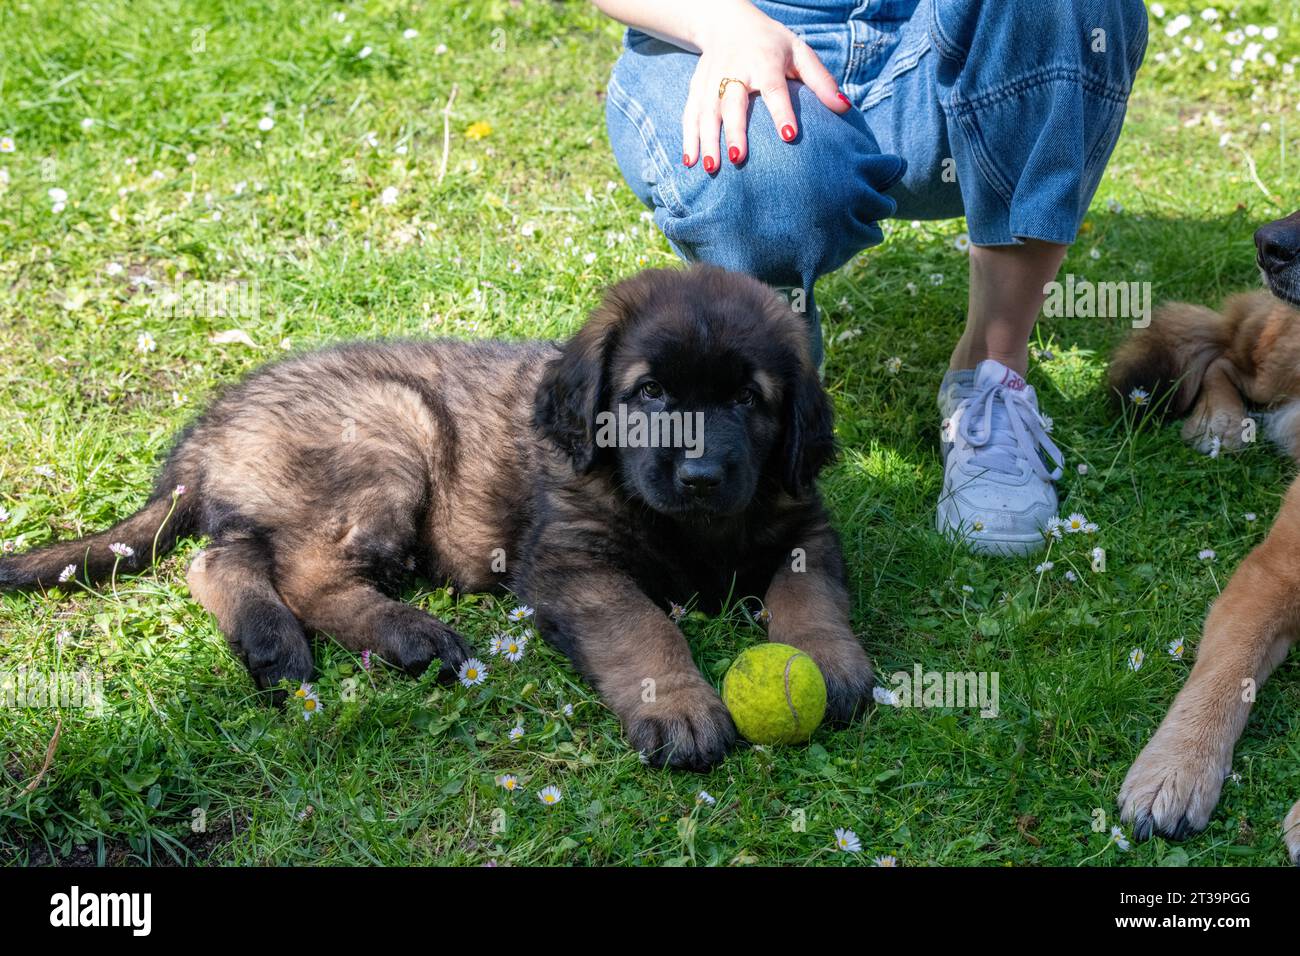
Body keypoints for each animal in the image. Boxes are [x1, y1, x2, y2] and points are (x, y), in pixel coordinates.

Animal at [2, 267, 873, 770]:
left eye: (747, 399)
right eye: (650, 393)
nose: (698, 476)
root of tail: (211, 423)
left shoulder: (803, 530)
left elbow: (810, 597)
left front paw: (829, 664)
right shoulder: (572, 561)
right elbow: (642, 626)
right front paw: (681, 707)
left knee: (223, 560)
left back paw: (271, 643)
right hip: (391, 430)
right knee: (303, 573)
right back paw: (406, 636)